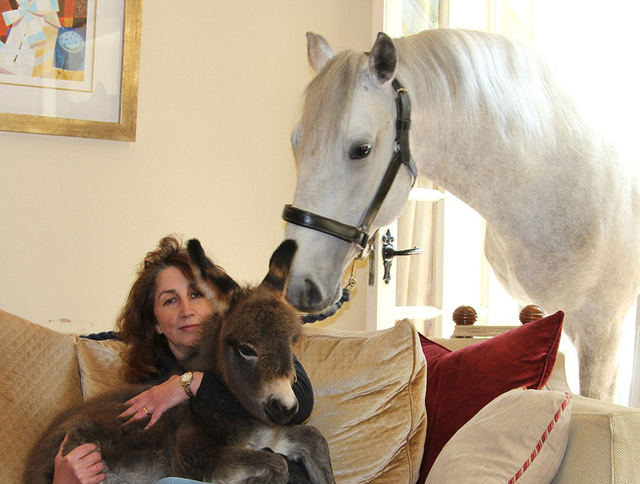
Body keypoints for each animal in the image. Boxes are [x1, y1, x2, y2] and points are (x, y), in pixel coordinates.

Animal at [25, 239, 336, 484]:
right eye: (247, 349)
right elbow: (277, 465)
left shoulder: (271, 435)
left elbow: (314, 439)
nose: (285, 408)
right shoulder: (193, 458)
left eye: (292, 342)